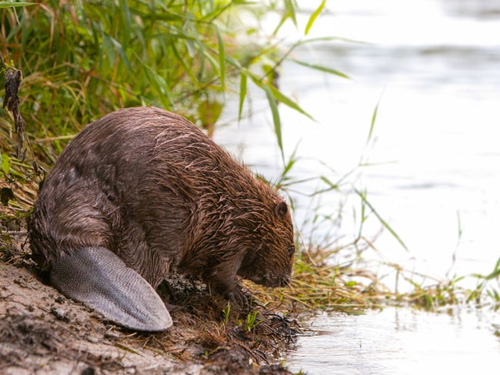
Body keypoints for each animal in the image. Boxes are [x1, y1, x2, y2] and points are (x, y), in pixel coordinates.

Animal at [28, 106, 292, 332]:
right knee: (145, 268)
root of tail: (71, 247)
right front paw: (242, 296)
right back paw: (171, 305)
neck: (243, 206)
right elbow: (221, 273)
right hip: (153, 230)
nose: (286, 280)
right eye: (290, 249)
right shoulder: (231, 237)